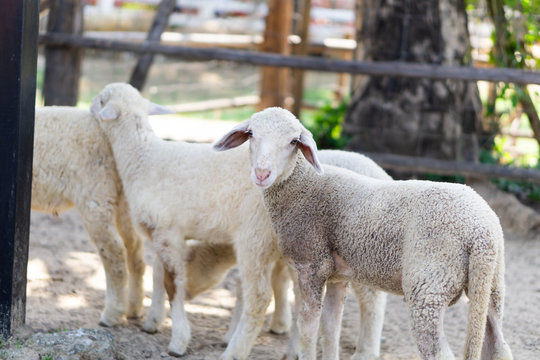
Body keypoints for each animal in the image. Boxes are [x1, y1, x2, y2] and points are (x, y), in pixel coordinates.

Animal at [31, 106, 148, 326]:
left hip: (95, 192)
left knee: (114, 250)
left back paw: (112, 314)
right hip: (122, 197)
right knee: (134, 247)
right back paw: (134, 309)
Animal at [89, 82, 388, 360]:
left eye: (100, 99)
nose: (90, 109)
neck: (143, 158)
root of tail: (380, 172)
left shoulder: (167, 230)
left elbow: (173, 283)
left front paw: (179, 339)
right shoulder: (162, 233)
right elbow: (160, 276)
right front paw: (153, 321)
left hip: (267, 238)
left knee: (362, 300)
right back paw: (292, 349)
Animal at [213, 107, 512, 360]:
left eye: (293, 141)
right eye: (251, 134)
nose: (262, 173)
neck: (301, 187)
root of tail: (481, 232)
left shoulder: (311, 265)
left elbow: (308, 331)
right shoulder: (335, 275)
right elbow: (330, 329)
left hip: (430, 284)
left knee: (439, 353)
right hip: (491, 285)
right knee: (499, 346)